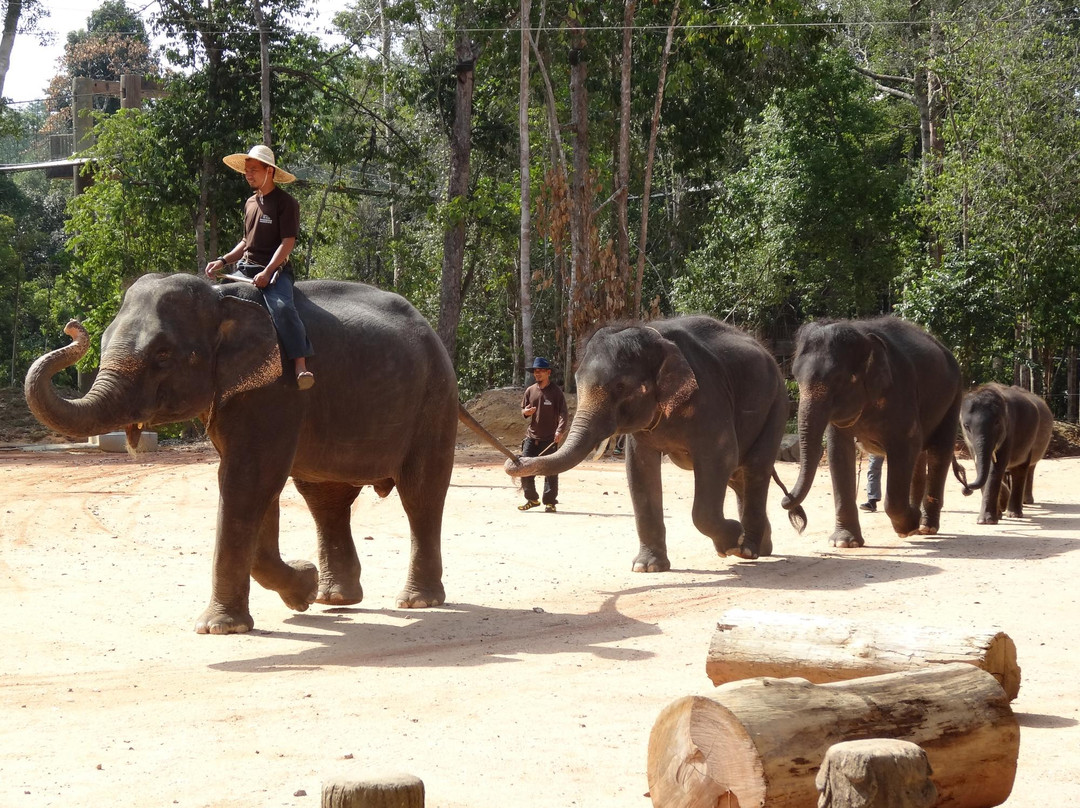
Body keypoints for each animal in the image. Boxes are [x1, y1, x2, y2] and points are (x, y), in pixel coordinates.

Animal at [21, 274, 501, 635]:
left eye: (163, 354)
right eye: (101, 341)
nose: (71, 326)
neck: (221, 296)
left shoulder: (279, 388)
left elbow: (248, 481)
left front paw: (221, 628)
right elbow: (253, 487)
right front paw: (302, 590)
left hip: (435, 397)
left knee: (420, 493)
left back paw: (416, 602)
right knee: (325, 499)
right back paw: (333, 598)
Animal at [498, 315, 803, 566]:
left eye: (620, 386)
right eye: (577, 380)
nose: (515, 460)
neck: (653, 335)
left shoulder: (710, 399)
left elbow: (719, 458)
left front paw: (731, 541)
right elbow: (639, 469)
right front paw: (647, 567)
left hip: (777, 404)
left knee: (754, 468)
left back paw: (747, 548)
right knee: (739, 476)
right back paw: (760, 547)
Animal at [777, 315, 963, 548]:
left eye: (839, 379)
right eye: (795, 376)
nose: (787, 502)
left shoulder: (901, 391)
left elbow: (906, 446)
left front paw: (907, 526)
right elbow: (838, 452)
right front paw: (844, 543)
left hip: (953, 397)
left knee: (939, 453)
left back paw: (925, 526)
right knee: (920, 456)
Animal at [959, 384, 1049, 524]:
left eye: (997, 422)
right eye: (966, 426)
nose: (965, 488)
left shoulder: (1009, 432)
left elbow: (996, 468)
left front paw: (986, 521)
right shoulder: (969, 441)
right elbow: (980, 466)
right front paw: (997, 514)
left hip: (1030, 441)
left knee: (1023, 468)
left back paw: (1016, 512)